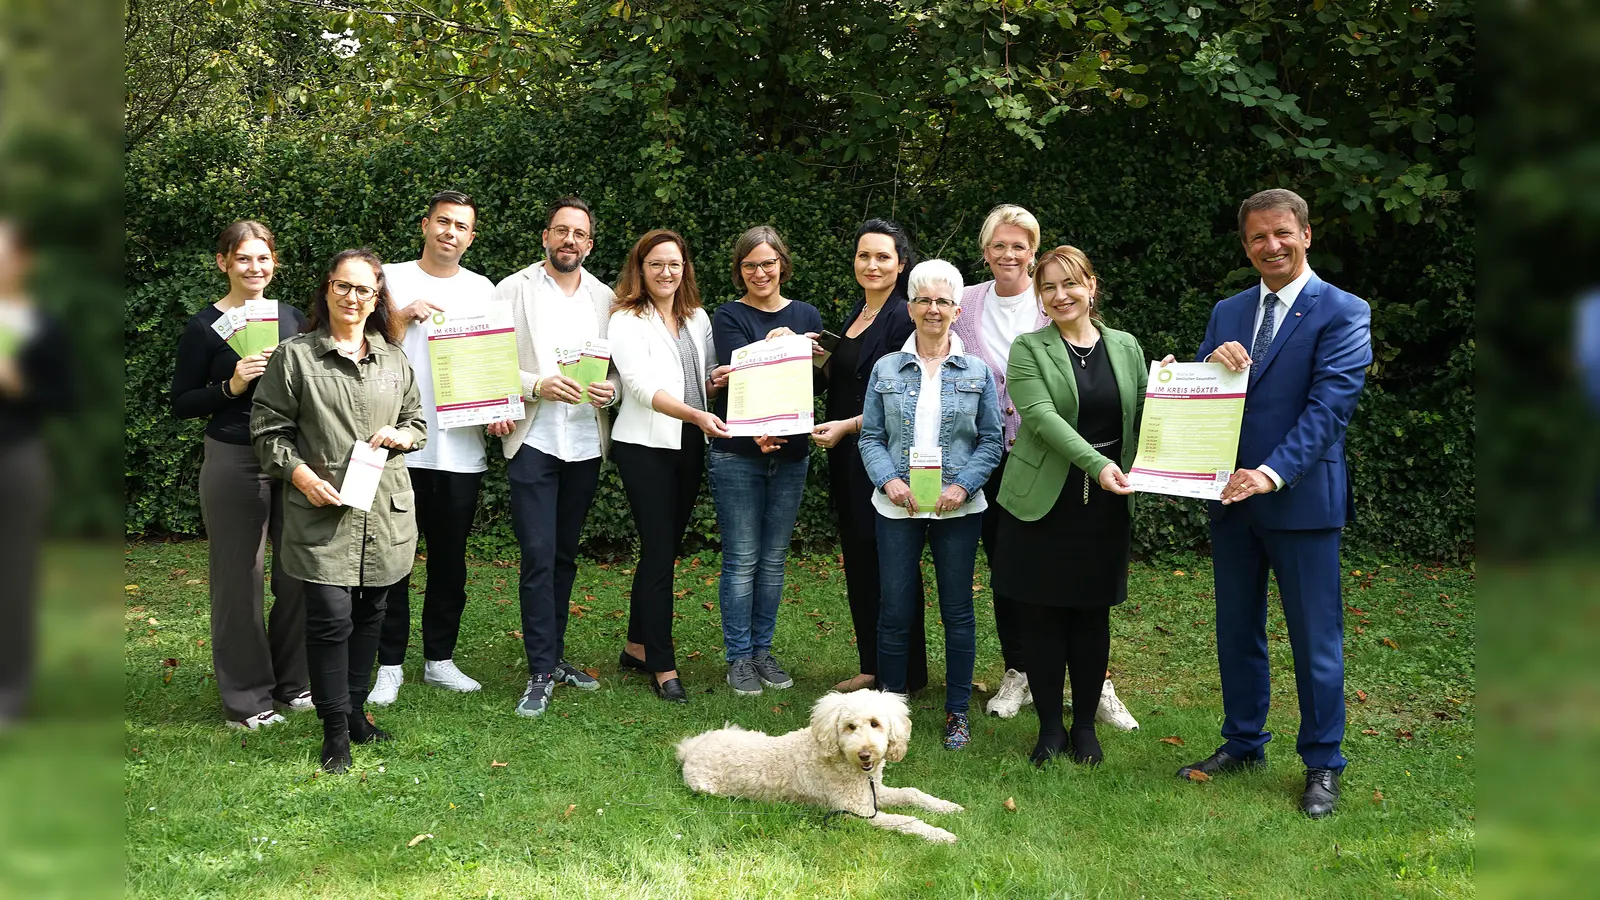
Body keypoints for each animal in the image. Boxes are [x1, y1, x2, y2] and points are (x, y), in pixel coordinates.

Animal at [675, 685, 960, 839]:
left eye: (875, 723)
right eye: (850, 727)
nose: (865, 754)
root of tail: (691, 750)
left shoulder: (875, 793)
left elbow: (912, 793)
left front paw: (948, 807)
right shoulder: (856, 813)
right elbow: (907, 820)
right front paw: (941, 834)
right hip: (706, 787)